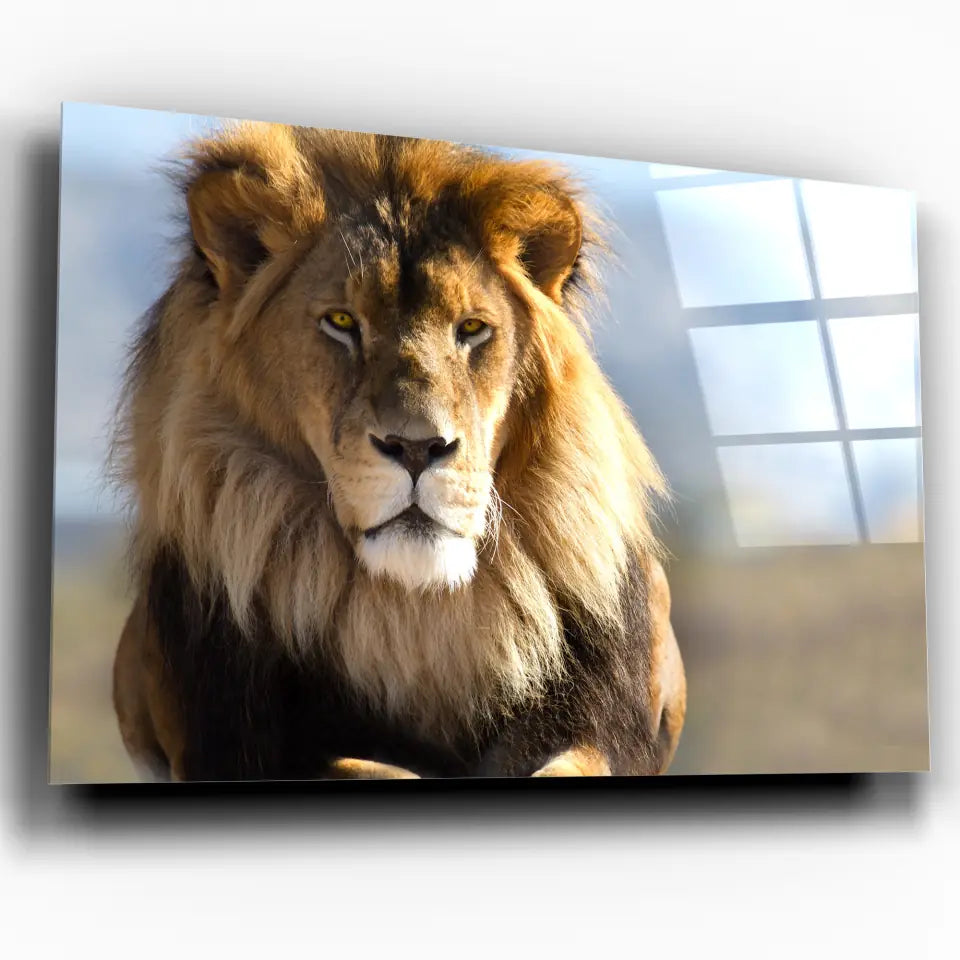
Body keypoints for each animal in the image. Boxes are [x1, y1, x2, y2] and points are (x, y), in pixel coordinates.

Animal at [111, 122, 686, 780]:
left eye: (471, 329)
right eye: (341, 321)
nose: (417, 447)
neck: (415, 613)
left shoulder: (599, 722)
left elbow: (570, 764)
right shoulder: (240, 744)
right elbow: (357, 765)